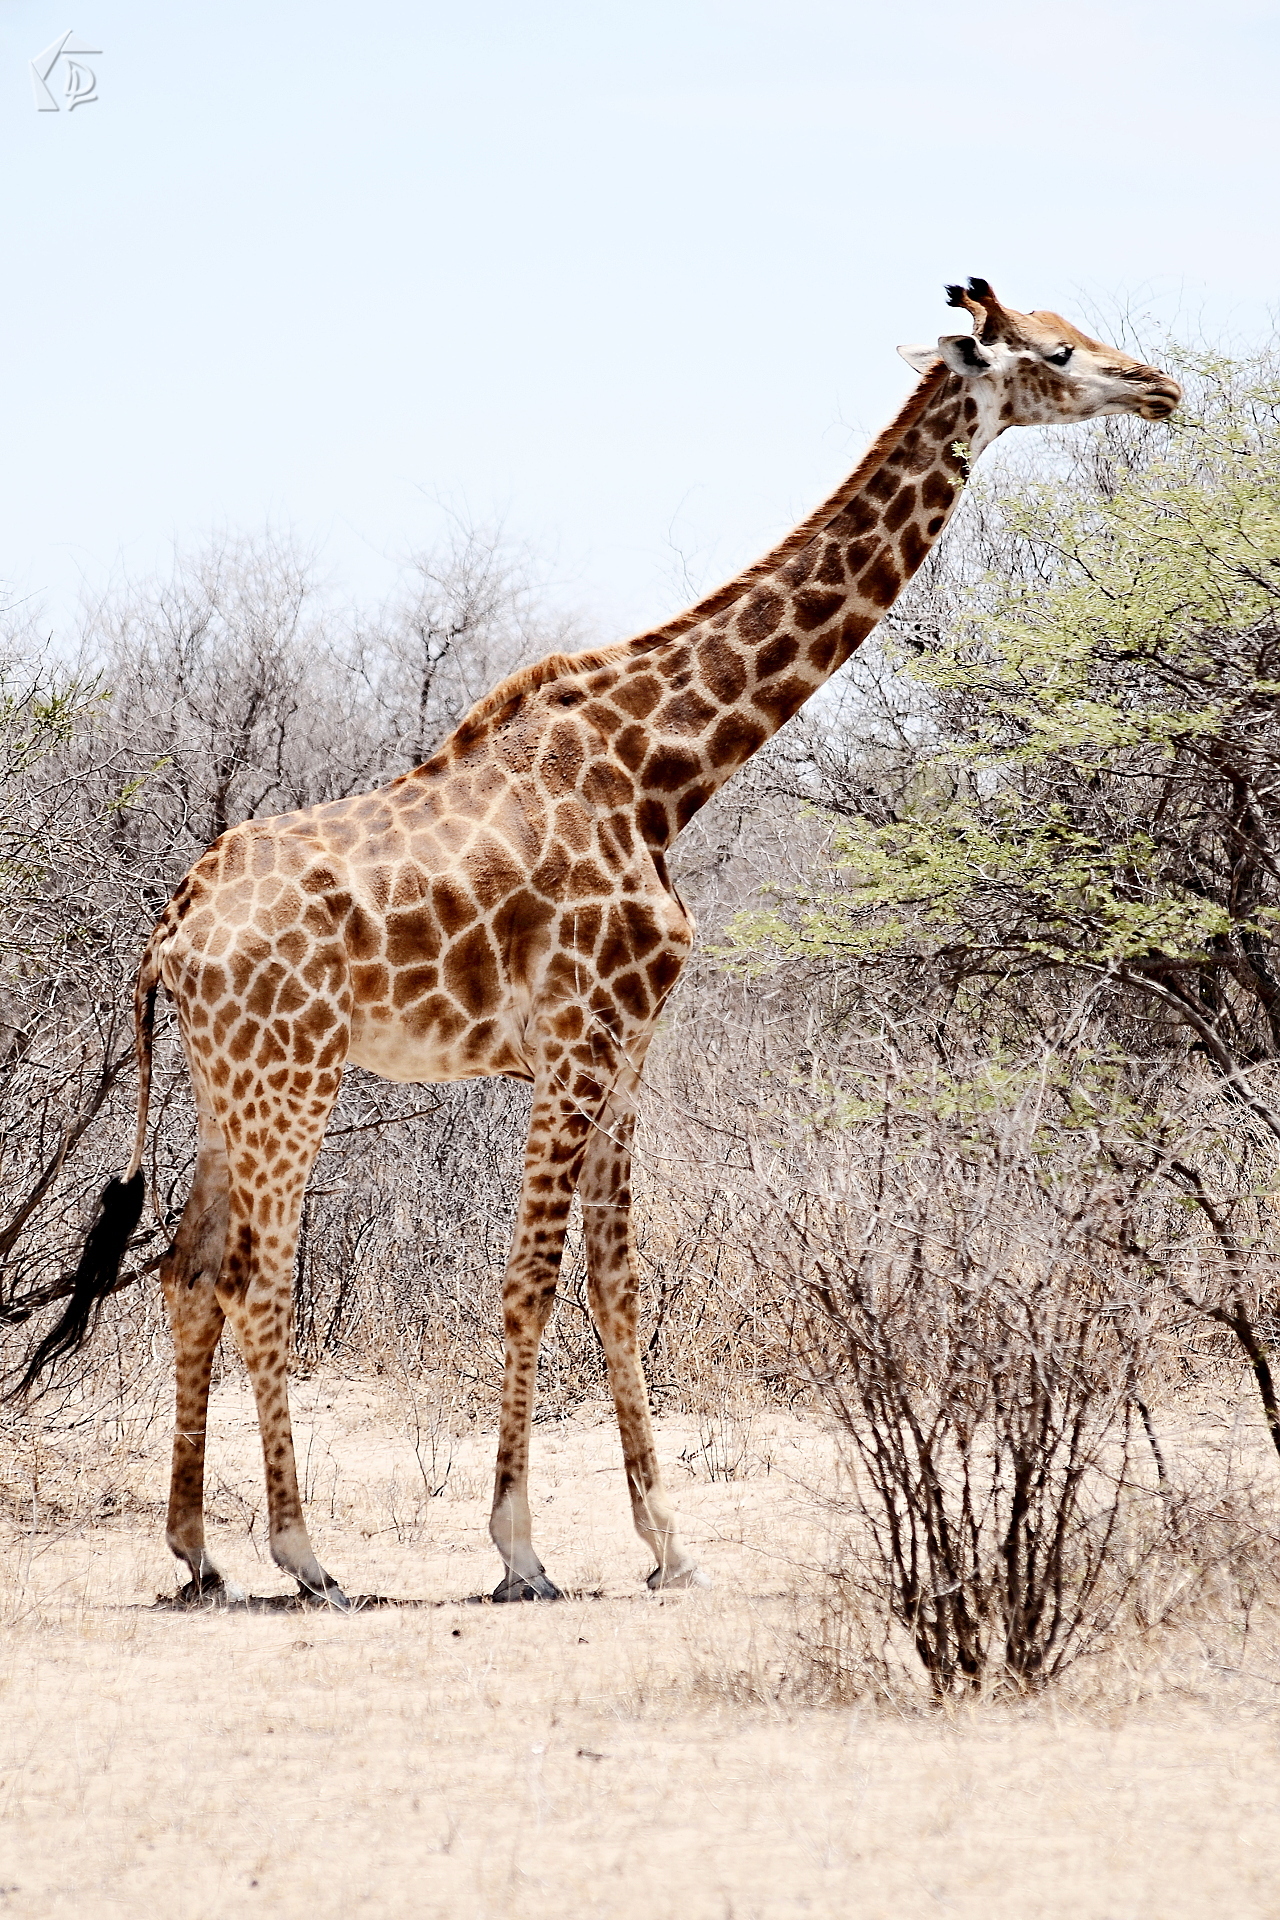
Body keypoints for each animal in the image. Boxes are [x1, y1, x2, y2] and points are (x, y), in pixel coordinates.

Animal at [22, 279, 1180, 1607]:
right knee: (259, 1276)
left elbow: (613, 1284)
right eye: (1056, 351)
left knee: (187, 1269)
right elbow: (528, 1281)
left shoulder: (626, 1051)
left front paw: (665, 1545)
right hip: (293, 1076)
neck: (663, 772)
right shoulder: (579, 1041)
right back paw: (305, 1554)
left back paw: (199, 1552)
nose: (1159, 387)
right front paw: (519, 1548)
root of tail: (169, 928)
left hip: (231, 1084)